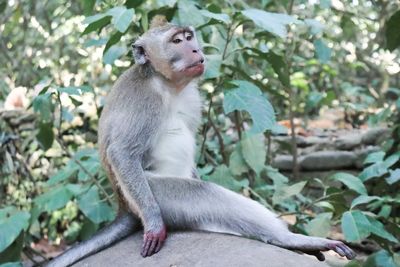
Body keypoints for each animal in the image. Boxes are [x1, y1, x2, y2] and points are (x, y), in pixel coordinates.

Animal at [45, 17, 354, 267]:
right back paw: (290, 240)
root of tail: (125, 208)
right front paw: (154, 224)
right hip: (156, 192)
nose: (195, 50)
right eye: (176, 41)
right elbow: (122, 153)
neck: (166, 83)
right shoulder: (144, 100)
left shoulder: (193, 97)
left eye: (188, 36)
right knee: (204, 194)